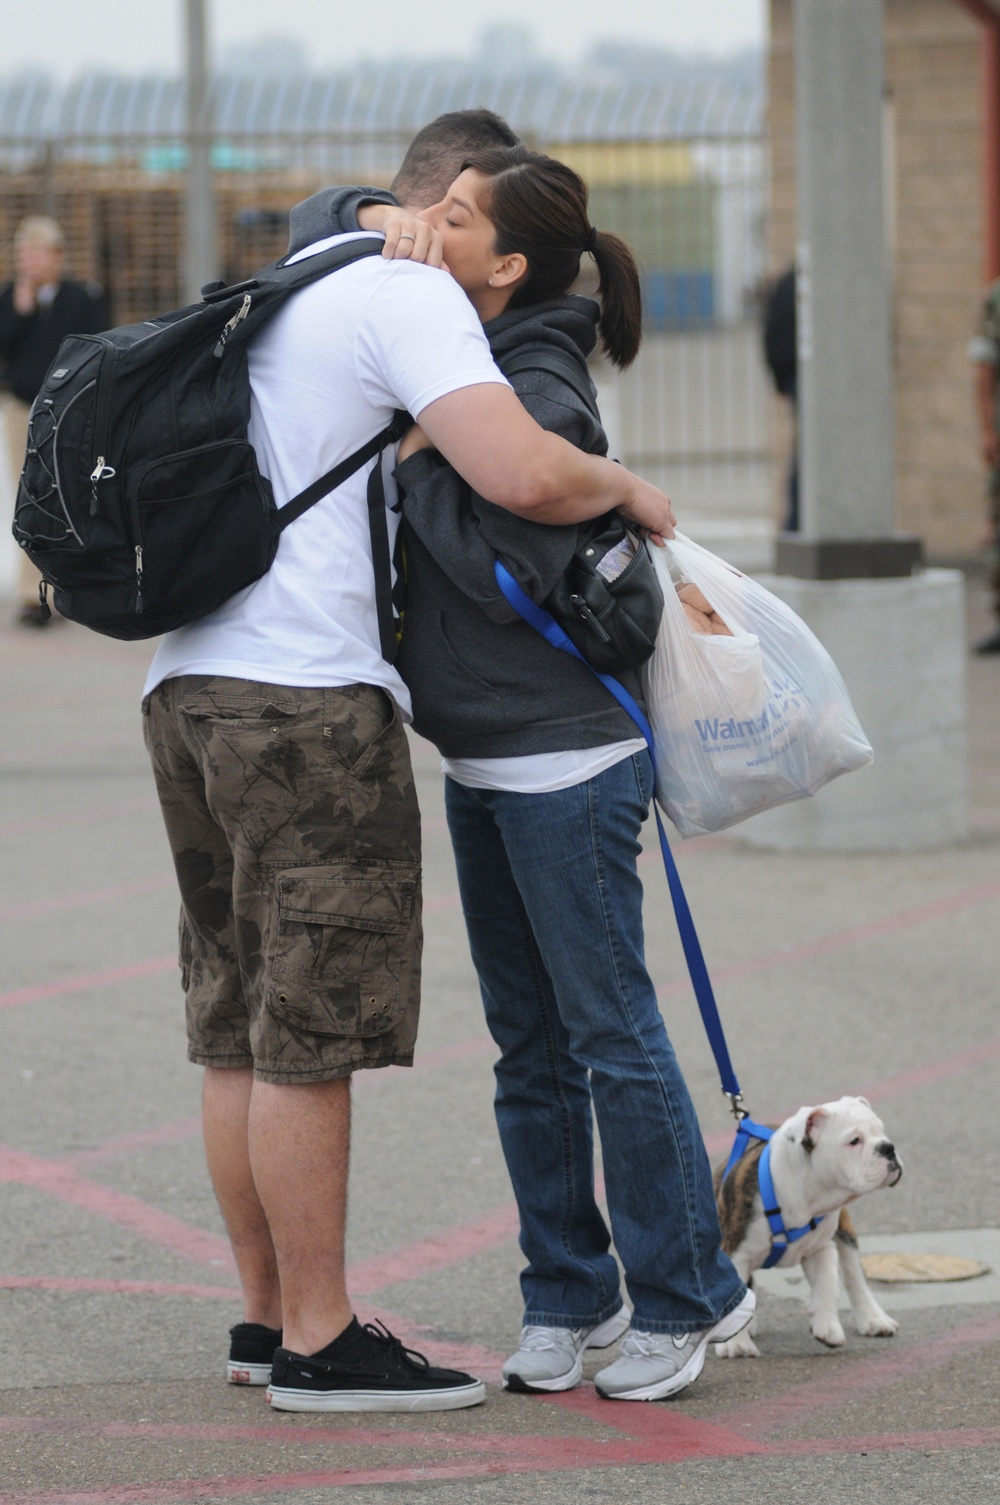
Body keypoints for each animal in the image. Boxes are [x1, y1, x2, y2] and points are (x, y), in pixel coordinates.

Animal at [713, 1101, 903, 1360]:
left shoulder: (821, 1248)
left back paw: (874, 1318)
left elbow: (828, 1284)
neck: (810, 1194)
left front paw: (827, 1327)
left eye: (881, 1131)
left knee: (854, 1274)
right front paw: (736, 1343)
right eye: (854, 1141)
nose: (888, 1147)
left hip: (845, 1230)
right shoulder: (736, 1254)